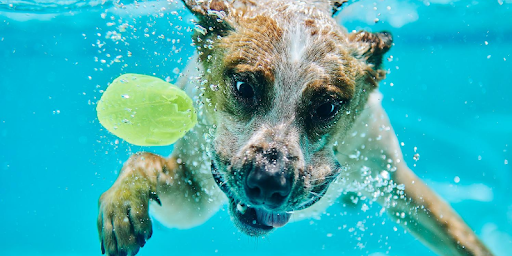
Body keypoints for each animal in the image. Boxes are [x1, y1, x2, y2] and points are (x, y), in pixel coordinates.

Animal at [96, 1, 492, 255]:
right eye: (244, 87)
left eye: (327, 107)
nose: (269, 180)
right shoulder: (193, 192)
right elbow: (143, 161)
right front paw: (122, 203)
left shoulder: (395, 182)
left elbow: (460, 237)